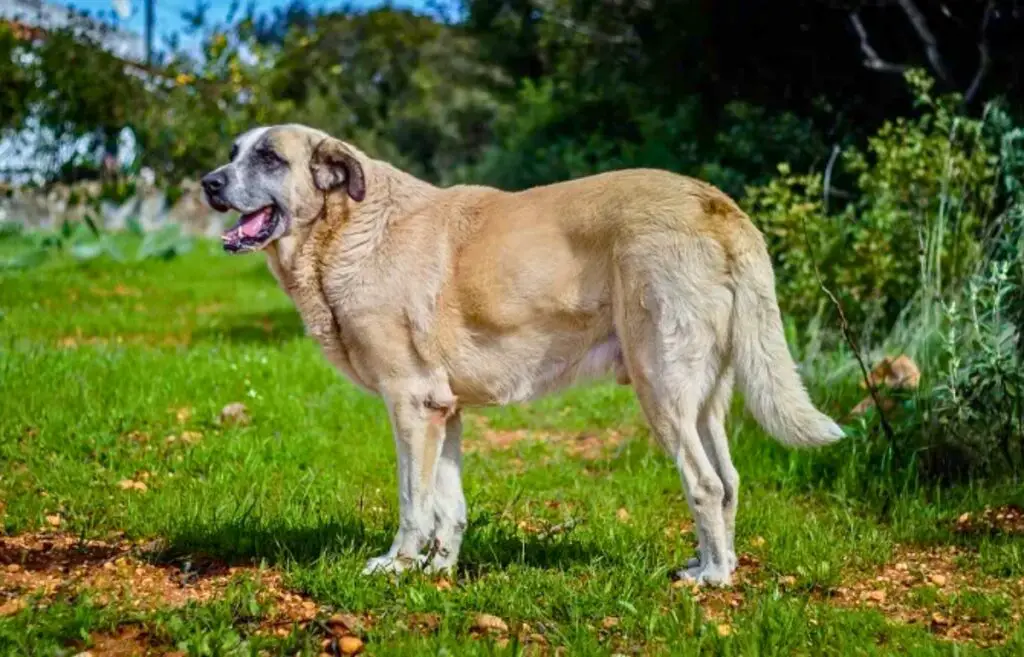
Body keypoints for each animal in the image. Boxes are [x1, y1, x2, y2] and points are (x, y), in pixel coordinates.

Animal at [199, 122, 839, 581]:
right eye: (234, 152)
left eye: (269, 158)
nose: (208, 182)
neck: (347, 228)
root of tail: (717, 203)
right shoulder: (444, 410)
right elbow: (447, 505)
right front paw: (438, 571)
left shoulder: (410, 404)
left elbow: (412, 501)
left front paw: (397, 567)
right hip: (704, 398)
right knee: (727, 482)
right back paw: (714, 564)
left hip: (662, 389)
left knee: (704, 484)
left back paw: (712, 579)